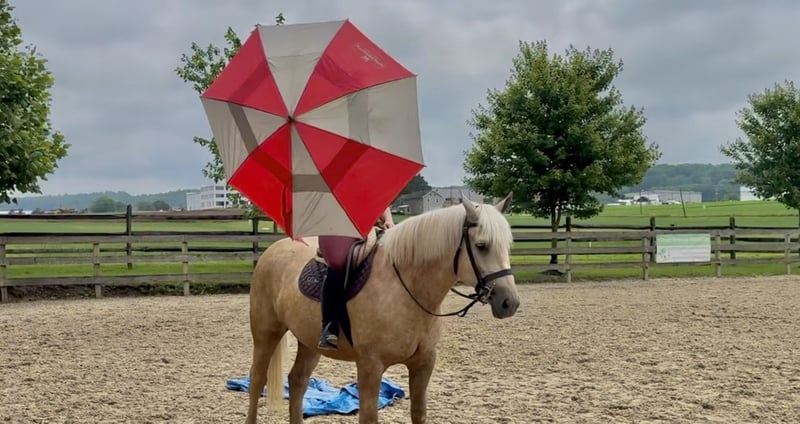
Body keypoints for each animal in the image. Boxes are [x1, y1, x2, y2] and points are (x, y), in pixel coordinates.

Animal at [245, 193, 520, 424]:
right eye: (482, 245)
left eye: (507, 246)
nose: (510, 302)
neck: (406, 287)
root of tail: (273, 250)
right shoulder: (370, 366)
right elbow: (369, 417)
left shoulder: (424, 364)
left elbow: (419, 413)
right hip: (266, 334)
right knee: (257, 381)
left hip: (310, 342)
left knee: (297, 381)